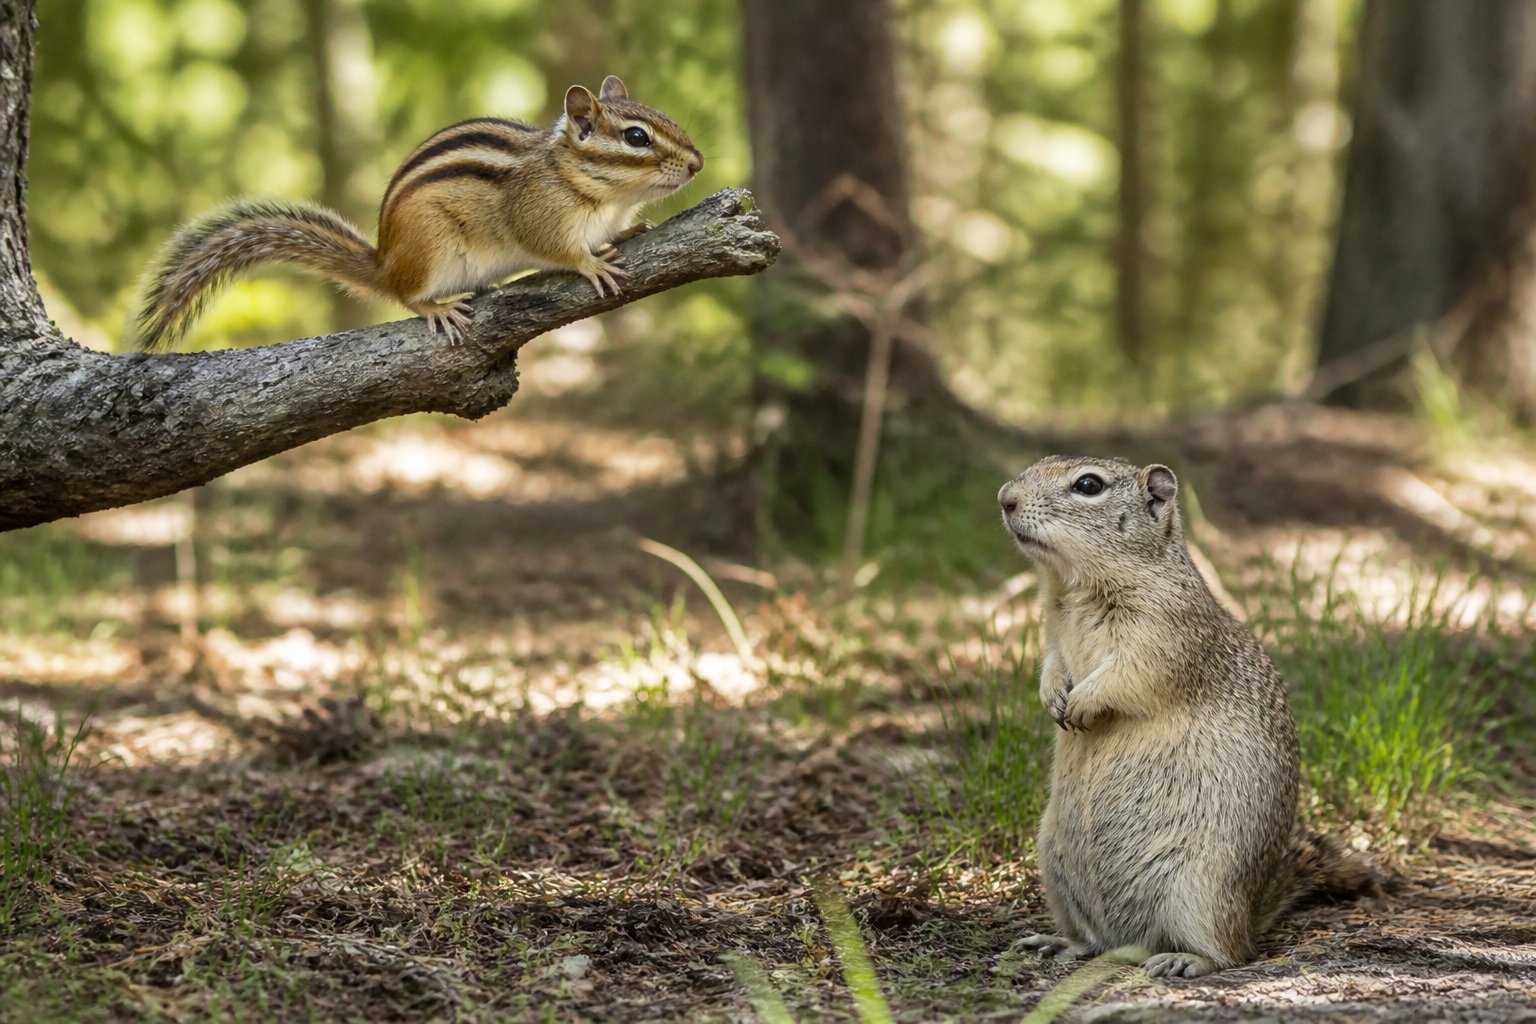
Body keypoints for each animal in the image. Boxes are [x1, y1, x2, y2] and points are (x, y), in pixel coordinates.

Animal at [134, 76, 703, 349]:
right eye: (636, 138)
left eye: (666, 118)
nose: (698, 163)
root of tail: (385, 262)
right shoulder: (538, 216)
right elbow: (558, 250)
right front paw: (592, 264)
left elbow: (619, 230)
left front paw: (632, 230)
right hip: (432, 250)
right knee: (405, 296)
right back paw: (437, 308)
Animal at [997, 456, 1381, 979]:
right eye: (1037, 464)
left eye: (1088, 485)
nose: (1005, 499)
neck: (1074, 588)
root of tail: (1250, 911)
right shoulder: (1052, 633)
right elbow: (1053, 663)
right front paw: (1053, 695)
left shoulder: (1164, 636)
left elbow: (1125, 677)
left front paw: (1081, 702)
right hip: (1054, 866)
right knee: (1094, 940)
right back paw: (1060, 942)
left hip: (1200, 889)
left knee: (1231, 953)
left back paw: (1185, 959)